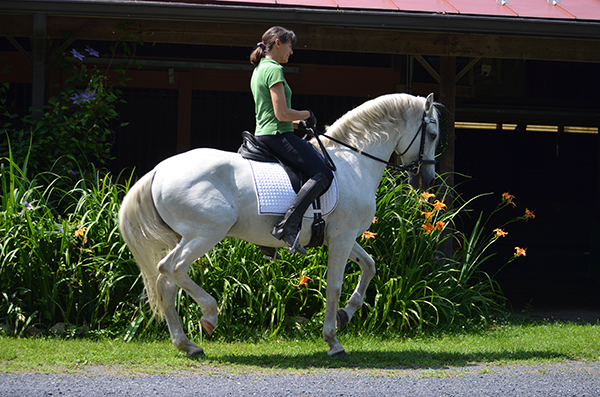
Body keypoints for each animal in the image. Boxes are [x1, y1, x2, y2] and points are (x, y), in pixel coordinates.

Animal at [118, 92, 440, 356]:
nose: (427, 180)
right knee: (170, 269)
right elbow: (334, 286)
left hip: (185, 237)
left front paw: (345, 315)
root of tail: (159, 170)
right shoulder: (342, 238)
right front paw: (333, 340)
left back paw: (187, 345)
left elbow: (369, 266)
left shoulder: (342, 237)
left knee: (167, 283)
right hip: (205, 233)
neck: (353, 163)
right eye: (434, 133)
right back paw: (209, 315)